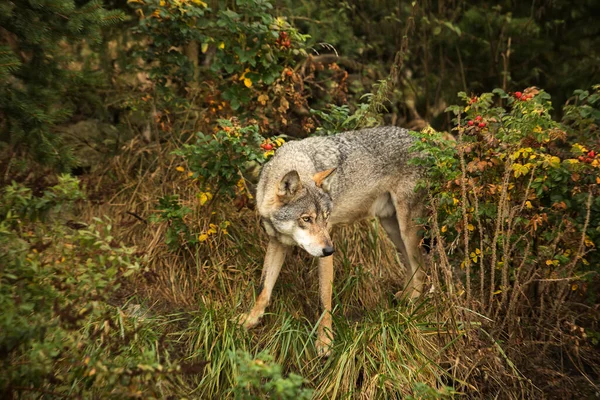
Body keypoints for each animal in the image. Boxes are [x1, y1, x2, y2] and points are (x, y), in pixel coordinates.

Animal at [239, 126, 426, 356]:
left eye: (325, 218)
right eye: (307, 219)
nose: (330, 250)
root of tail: (423, 139)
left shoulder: (325, 250)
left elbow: (324, 299)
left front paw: (325, 343)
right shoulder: (276, 243)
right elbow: (264, 288)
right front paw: (250, 320)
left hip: (407, 230)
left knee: (421, 268)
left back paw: (410, 311)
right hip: (391, 227)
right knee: (410, 265)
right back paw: (404, 298)